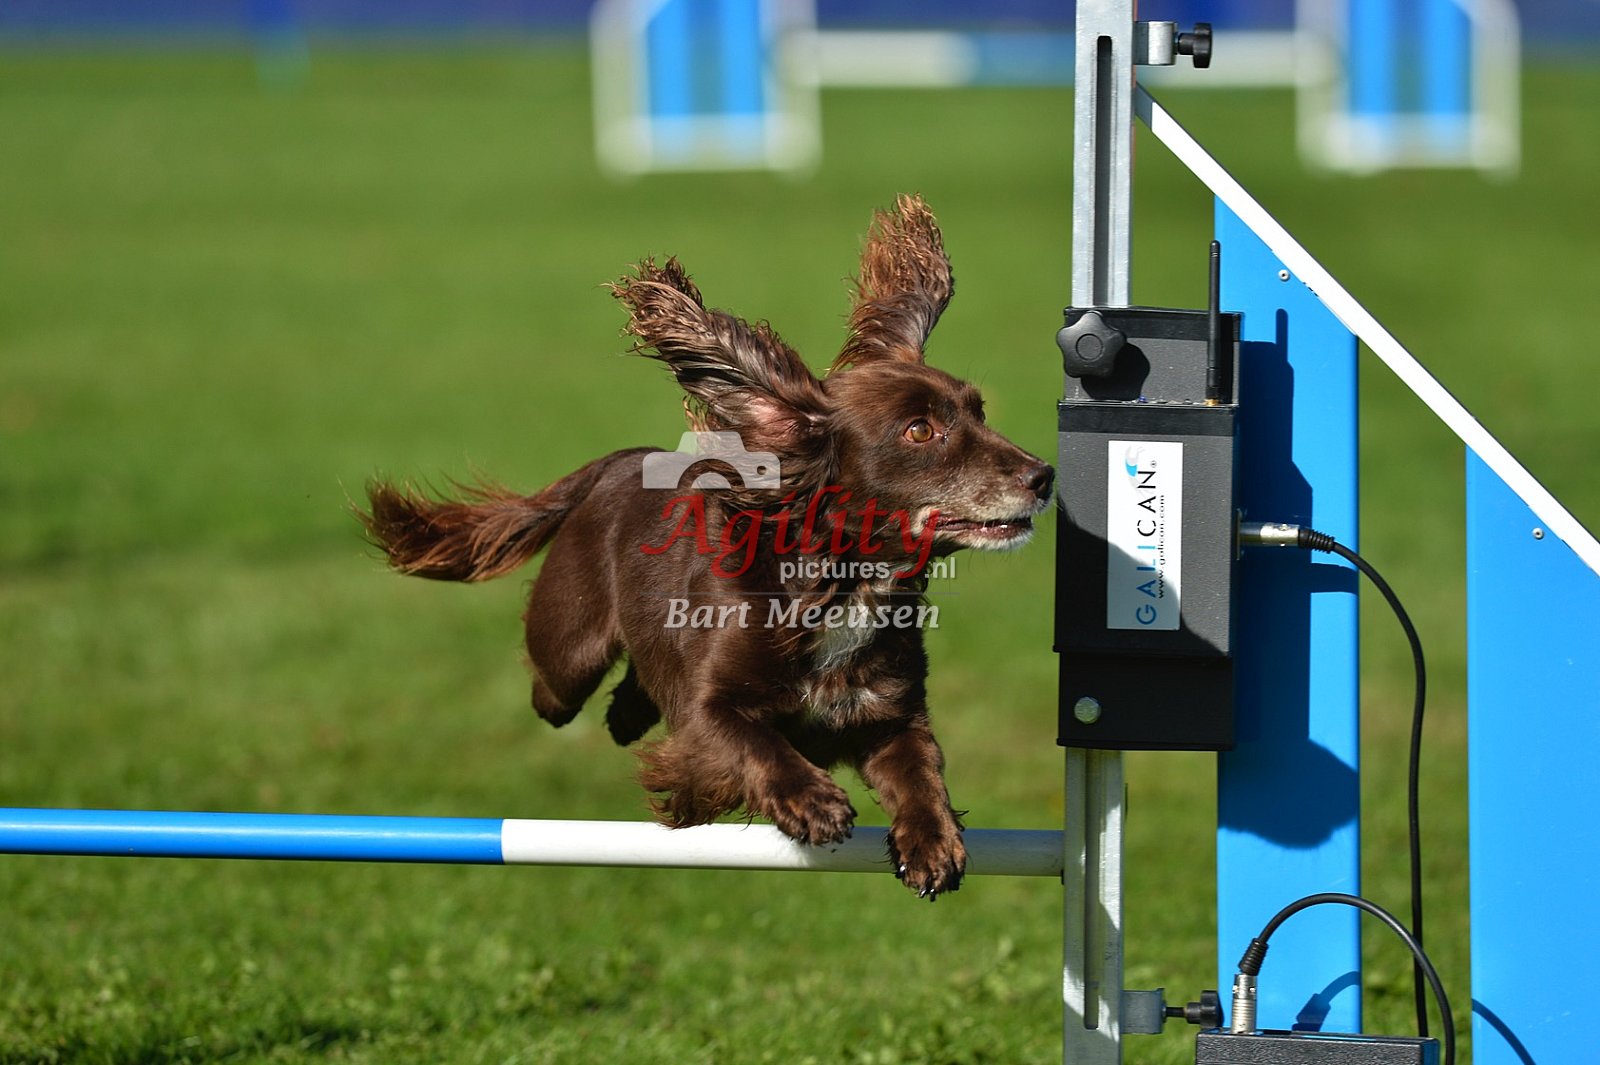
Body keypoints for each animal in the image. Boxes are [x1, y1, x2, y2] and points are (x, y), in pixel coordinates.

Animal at [361, 195, 1052, 899]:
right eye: (919, 430)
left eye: (979, 411)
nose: (1043, 475)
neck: (839, 584)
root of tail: (618, 462)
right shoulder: (706, 709)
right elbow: (749, 739)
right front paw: (812, 803)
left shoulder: (888, 711)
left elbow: (920, 770)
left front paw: (932, 844)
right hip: (566, 653)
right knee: (553, 692)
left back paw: (626, 714)